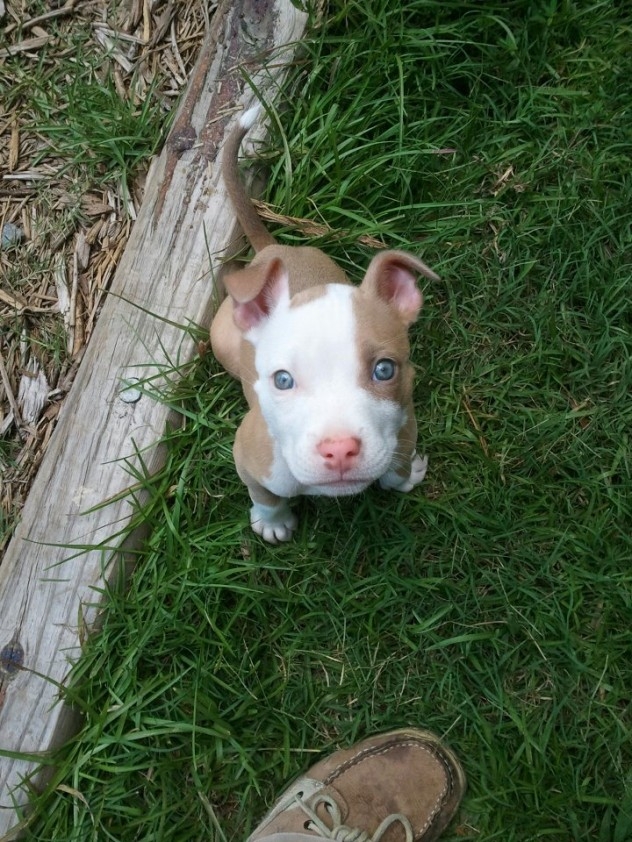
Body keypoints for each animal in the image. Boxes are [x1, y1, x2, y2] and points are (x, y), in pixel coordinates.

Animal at [210, 105, 436, 540]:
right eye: (283, 380)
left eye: (385, 370)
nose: (340, 449)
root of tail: (272, 250)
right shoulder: (247, 454)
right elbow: (264, 494)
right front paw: (272, 522)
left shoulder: (405, 424)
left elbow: (396, 467)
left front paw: (404, 477)